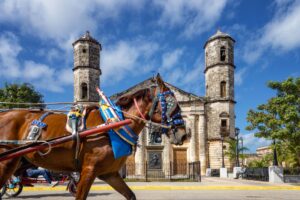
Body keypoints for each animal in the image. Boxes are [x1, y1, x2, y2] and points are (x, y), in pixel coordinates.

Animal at [0, 75, 186, 200]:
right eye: (172, 103)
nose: (183, 133)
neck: (113, 124)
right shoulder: (89, 170)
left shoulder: (110, 174)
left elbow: (131, 195)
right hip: (6, 162)